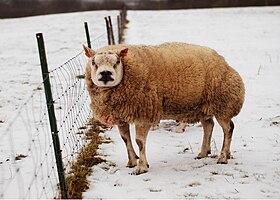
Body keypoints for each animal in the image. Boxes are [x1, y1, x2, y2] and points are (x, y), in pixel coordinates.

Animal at [82, 42, 245, 175]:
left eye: (117, 61)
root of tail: (222, 60)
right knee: (208, 125)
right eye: (93, 62)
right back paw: (204, 153)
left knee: (228, 128)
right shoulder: (120, 115)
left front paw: (141, 167)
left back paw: (223, 157)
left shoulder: (144, 113)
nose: (105, 74)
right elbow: (125, 139)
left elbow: (139, 141)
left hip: (223, 104)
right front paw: (132, 161)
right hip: (204, 105)